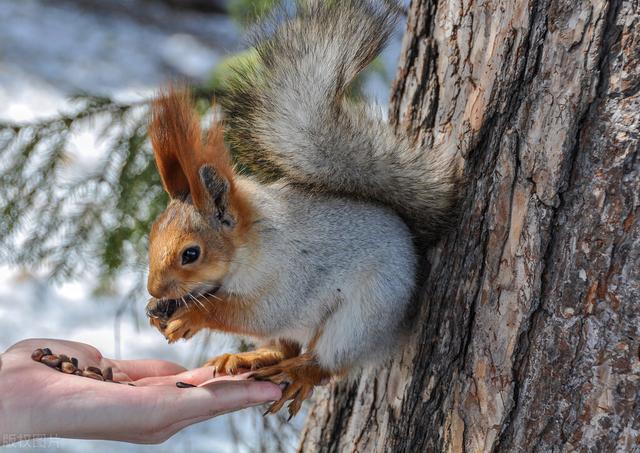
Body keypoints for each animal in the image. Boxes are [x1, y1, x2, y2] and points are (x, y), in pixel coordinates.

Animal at [145, 0, 460, 418]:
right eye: (151, 235)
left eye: (191, 254)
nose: (153, 288)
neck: (252, 243)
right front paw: (159, 311)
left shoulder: (291, 273)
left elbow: (258, 313)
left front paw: (194, 315)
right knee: (284, 346)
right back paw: (249, 358)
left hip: (364, 315)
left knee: (326, 362)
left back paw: (299, 373)